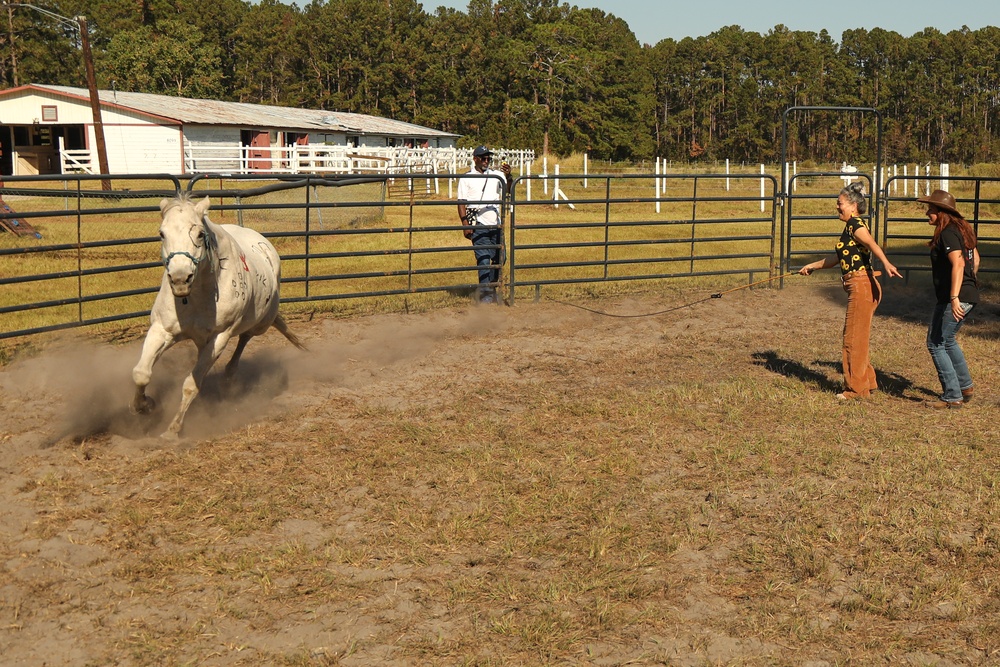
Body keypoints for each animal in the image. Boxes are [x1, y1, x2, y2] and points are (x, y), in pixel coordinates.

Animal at [133, 194, 304, 438]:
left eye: (199, 234)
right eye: (162, 233)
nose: (180, 279)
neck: (196, 295)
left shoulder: (218, 338)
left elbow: (191, 385)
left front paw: (173, 429)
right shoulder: (161, 330)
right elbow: (141, 373)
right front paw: (145, 406)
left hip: (259, 324)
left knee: (245, 338)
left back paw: (229, 376)